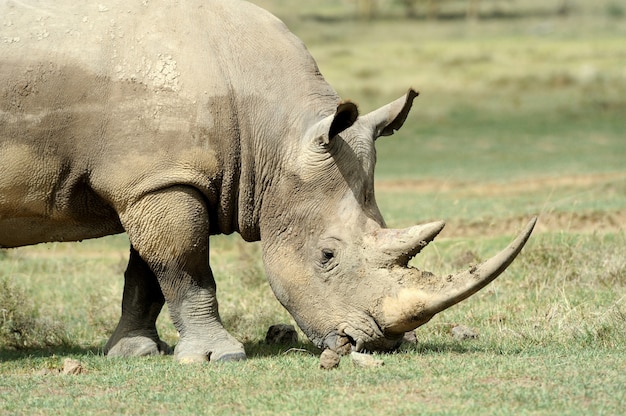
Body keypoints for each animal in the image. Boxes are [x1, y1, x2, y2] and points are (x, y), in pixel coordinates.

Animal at [1, 0, 536, 360]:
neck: (275, 135)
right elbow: (185, 265)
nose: (378, 342)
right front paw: (218, 356)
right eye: (327, 256)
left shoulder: (158, 178)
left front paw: (134, 351)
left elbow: (148, 271)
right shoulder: (159, 180)